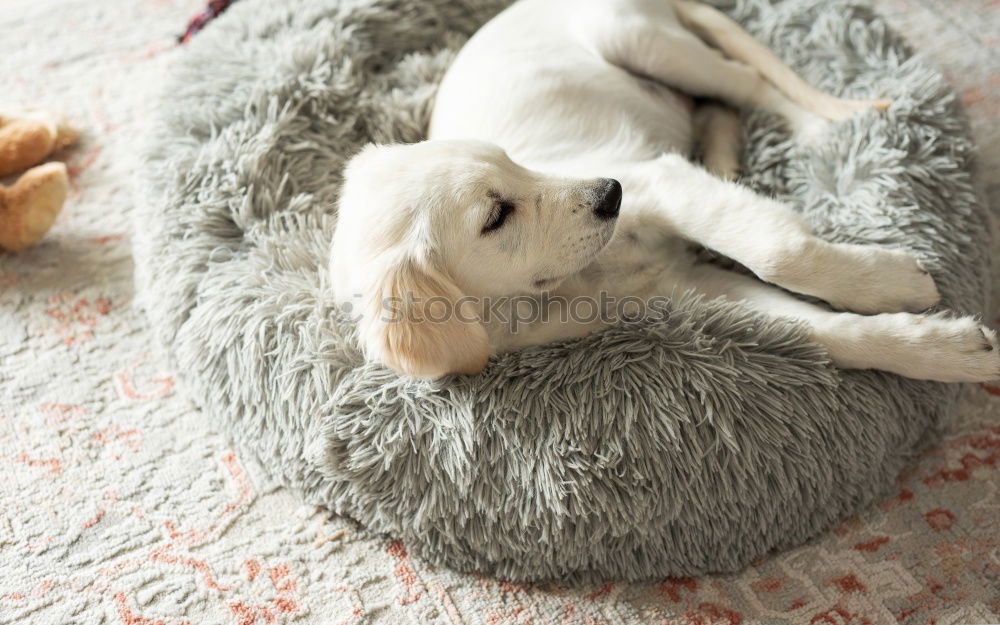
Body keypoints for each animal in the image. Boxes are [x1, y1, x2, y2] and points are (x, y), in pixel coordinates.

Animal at [330, 0, 1000, 382]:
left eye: (512, 158)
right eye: (496, 216)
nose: (610, 193)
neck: (569, 286)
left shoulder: (661, 181)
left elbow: (781, 253)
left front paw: (894, 283)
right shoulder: (680, 289)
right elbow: (824, 334)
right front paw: (947, 352)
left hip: (634, 36)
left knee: (749, 82)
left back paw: (820, 130)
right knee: (721, 104)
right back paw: (728, 154)